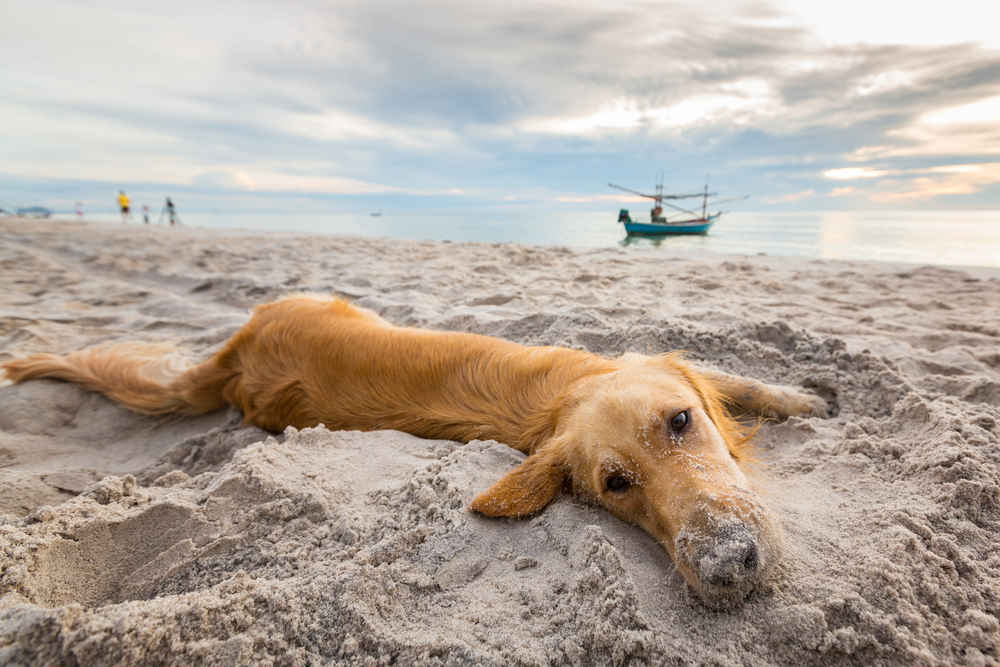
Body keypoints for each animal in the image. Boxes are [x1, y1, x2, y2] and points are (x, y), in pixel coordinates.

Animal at [3, 294, 824, 608]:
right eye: (617, 485)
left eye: (682, 422)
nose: (728, 566)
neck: (564, 396)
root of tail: (234, 352)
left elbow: (740, 378)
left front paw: (804, 396)